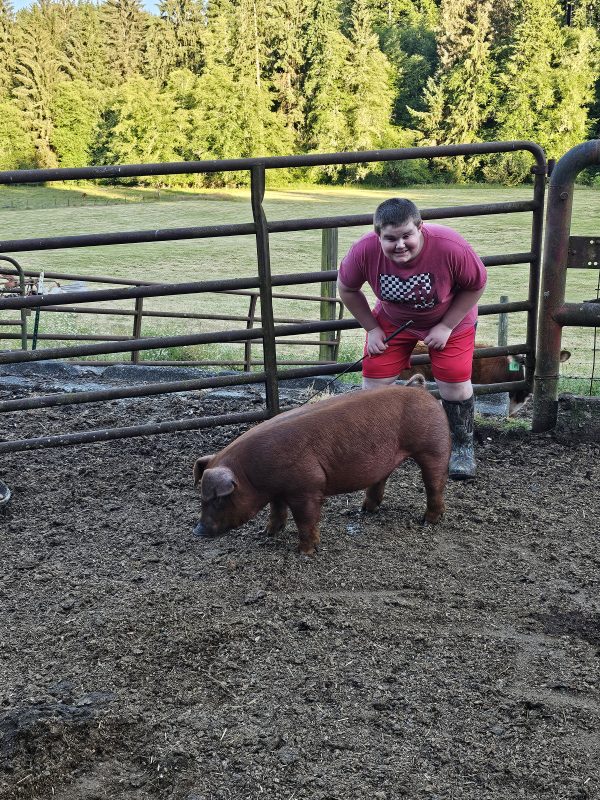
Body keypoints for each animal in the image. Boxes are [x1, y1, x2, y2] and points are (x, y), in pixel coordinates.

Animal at [192, 382, 450, 556]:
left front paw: (304, 552)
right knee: (382, 477)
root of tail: (419, 387)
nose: (198, 530)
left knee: (435, 482)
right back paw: (366, 510)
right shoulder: (278, 491)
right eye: (201, 498)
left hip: (434, 446)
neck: (251, 475)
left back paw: (428, 521)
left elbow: (305, 520)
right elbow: (277, 510)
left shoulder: (307, 486)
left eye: (218, 499)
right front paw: (267, 533)